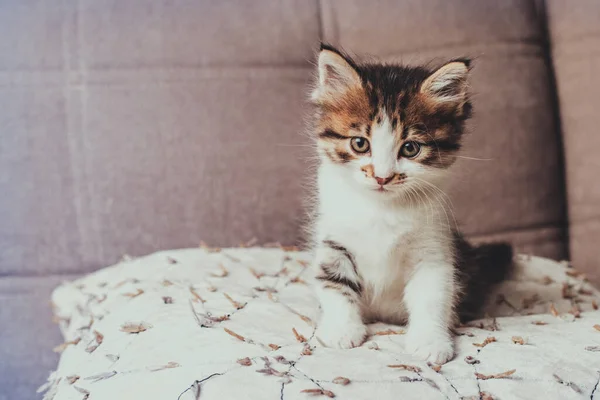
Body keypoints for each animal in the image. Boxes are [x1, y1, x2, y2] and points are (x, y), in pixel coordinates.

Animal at [310, 44, 510, 366]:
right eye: (359, 144)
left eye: (410, 148)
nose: (382, 177)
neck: (382, 208)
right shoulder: (334, 240)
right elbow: (334, 283)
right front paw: (342, 329)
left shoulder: (433, 248)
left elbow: (432, 295)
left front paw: (430, 341)